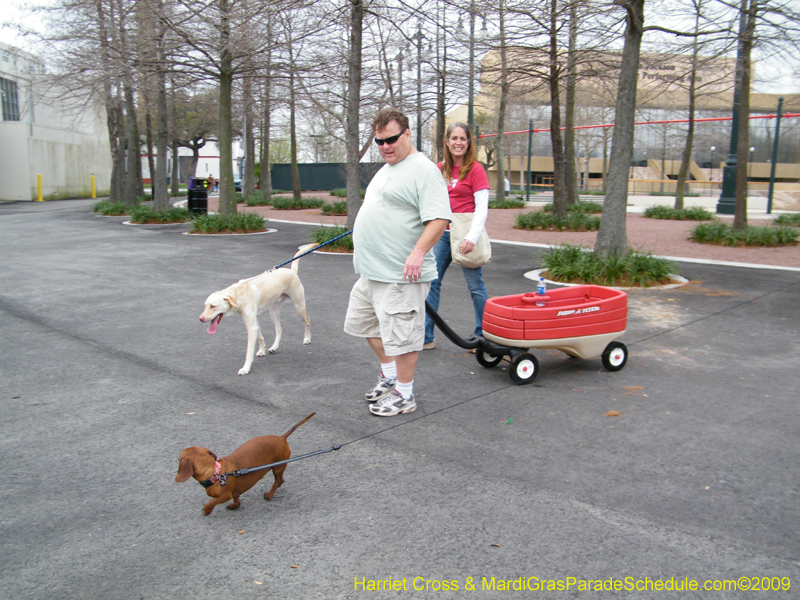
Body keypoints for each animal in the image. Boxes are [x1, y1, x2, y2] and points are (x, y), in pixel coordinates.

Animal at [177, 412, 314, 516]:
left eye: (179, 457)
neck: (215, 473)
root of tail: (281, 438)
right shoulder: (234, 491)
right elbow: (236, 496)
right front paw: (235, 504)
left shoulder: (224, 496)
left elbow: (212, 502)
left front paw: (207, 509)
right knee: (280, 480)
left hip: (278, 467)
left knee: (278, 481)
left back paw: (270, 494)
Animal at [200, 244, 316, 376]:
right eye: (205, 306)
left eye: (213, 306)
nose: (200, 319)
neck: (239, 294)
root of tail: (291, 271)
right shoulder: (254, 321)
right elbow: (260, 337)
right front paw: (262, 351)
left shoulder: (251, 327)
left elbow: (249, 351)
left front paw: (246, 368)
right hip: (273, 312)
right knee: (279, 329)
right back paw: (274, 347)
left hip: (298, 306)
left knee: (307, 321)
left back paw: (307, 339)